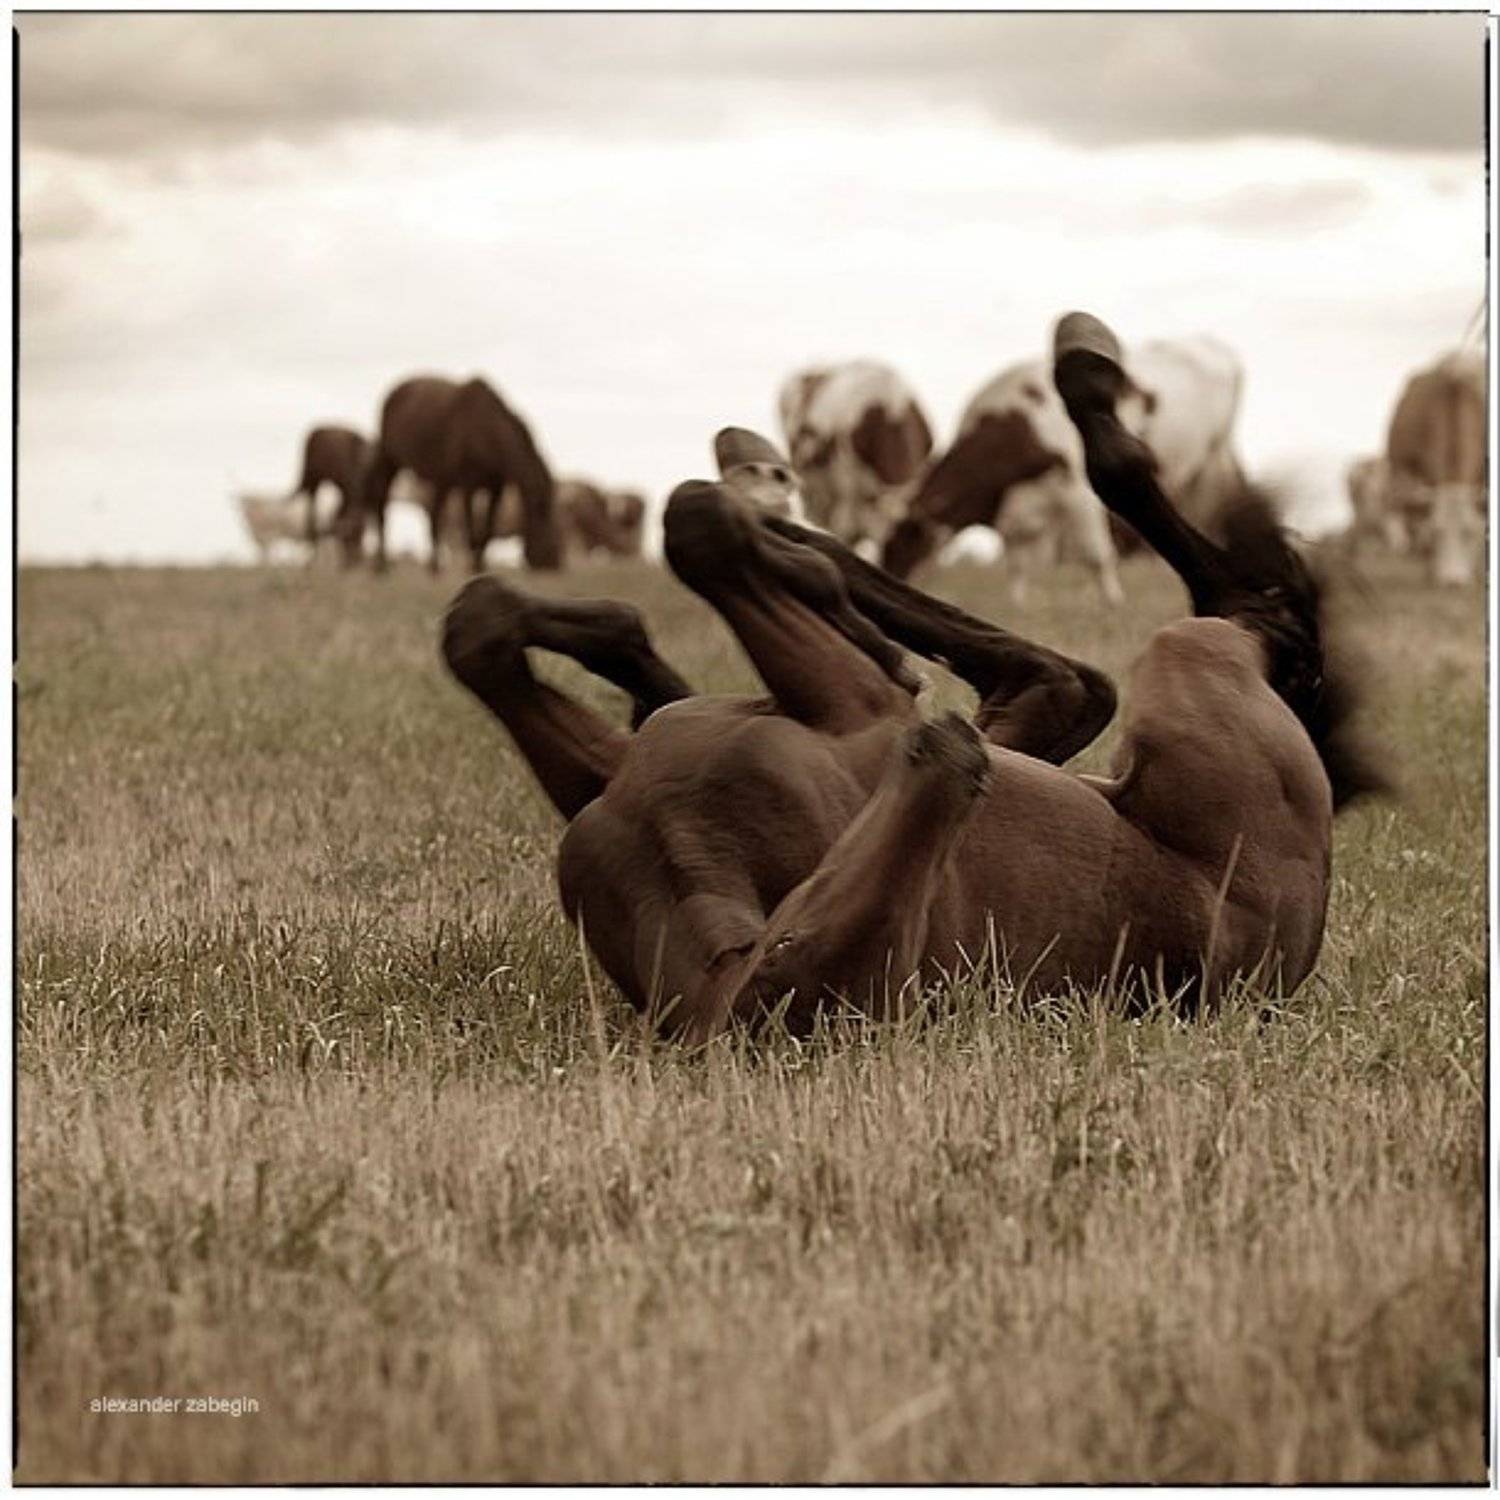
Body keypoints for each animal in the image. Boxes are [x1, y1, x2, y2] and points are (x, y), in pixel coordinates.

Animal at [441, 312, 1384, 1043]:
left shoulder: (841, 711)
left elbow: (697, 530)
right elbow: (482, 629)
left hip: (1187, 657)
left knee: (1183, 633)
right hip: (1184, 665)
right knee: (1110, 664)